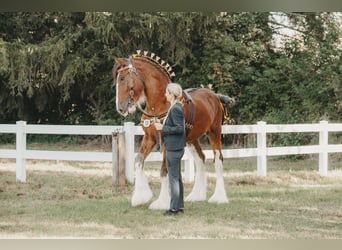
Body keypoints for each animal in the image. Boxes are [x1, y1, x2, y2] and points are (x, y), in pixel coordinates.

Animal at [113, 50, 234, 209]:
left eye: (122, 78)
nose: (120, 108)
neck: (159, 104)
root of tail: (214, 95)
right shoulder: (150, 138)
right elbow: (138, 161)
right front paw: (140, 197)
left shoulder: (165, 141)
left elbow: (164, 169)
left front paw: (161, 202)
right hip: (192, 139)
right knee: (200, 158)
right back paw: (197, 195)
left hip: (214, 132)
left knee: (218, 159)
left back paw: (219, 197)